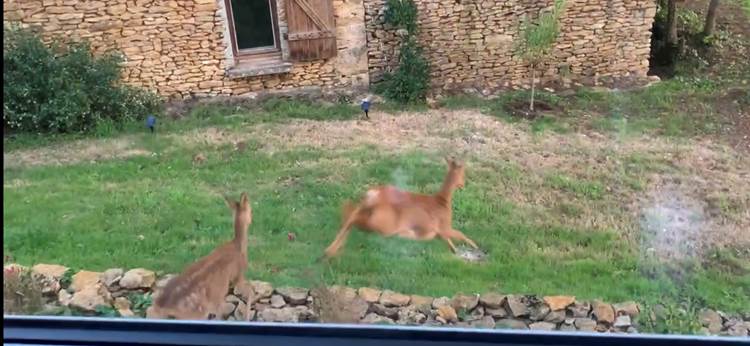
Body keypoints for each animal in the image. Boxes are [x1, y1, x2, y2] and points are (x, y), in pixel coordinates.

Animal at [324, 157, 482, 256]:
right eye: (463, 172)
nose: (463, 184)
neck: (442, 201)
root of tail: (372, 194)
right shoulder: (444, 226)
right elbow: (460, 234)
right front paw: (475, 246)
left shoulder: (438, 232)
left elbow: (448, 240)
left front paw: (454, 250)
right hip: (384, 224)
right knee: (355, 219)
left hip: (369, 214)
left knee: (351, 217)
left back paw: (330, 251)